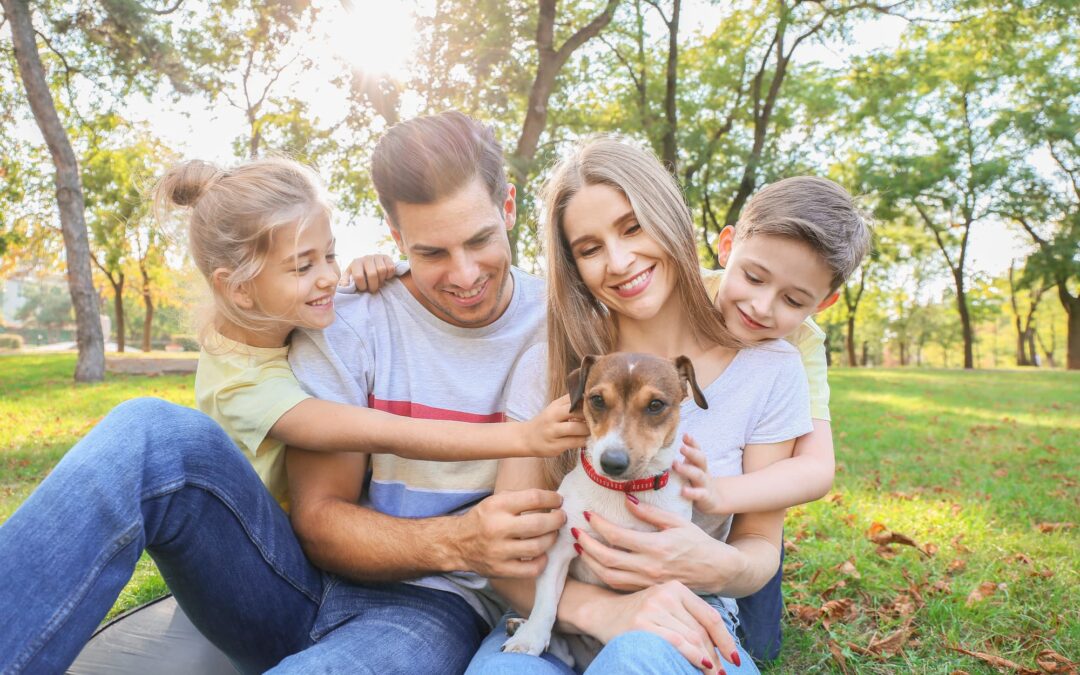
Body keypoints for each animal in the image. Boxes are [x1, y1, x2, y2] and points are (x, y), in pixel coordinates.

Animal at [503, 349, 712, 665]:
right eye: (597, 399)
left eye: (655, 405)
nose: (612, 462)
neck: (622, 491)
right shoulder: (561, 548)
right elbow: (546, 601)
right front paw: (530, 638)